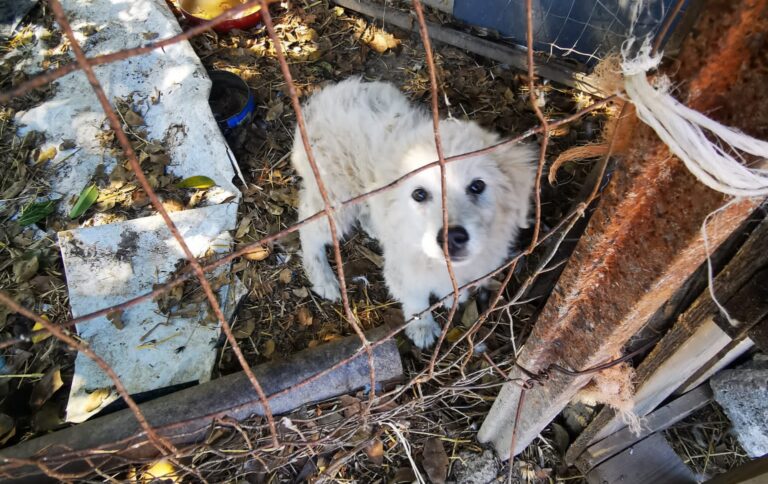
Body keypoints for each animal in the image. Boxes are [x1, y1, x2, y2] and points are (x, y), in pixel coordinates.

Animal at [292, 78, 536, 348]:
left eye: (477, 186)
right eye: (419, 194)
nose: (452, 238)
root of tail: (321, 98)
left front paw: (450, 296)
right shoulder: (404, 271)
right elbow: (416, 300)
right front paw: (423, 328)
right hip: (337, 195)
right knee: (309, 228)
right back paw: (323, 278)